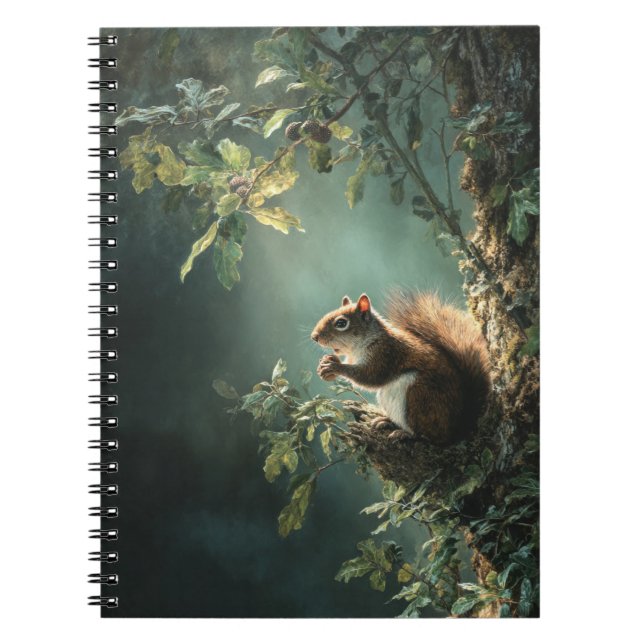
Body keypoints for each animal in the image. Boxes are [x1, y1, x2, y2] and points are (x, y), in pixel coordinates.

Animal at [311, 292, 491, 444]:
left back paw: (404, 433)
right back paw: (386, 421)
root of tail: (456, 429)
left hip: (418, 397)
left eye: (341, 323)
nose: (314, 337)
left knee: (428, 436)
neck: (359, 346)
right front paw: (327, 362)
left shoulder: (385, 355)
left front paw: (335, 366)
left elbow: (369, 377)